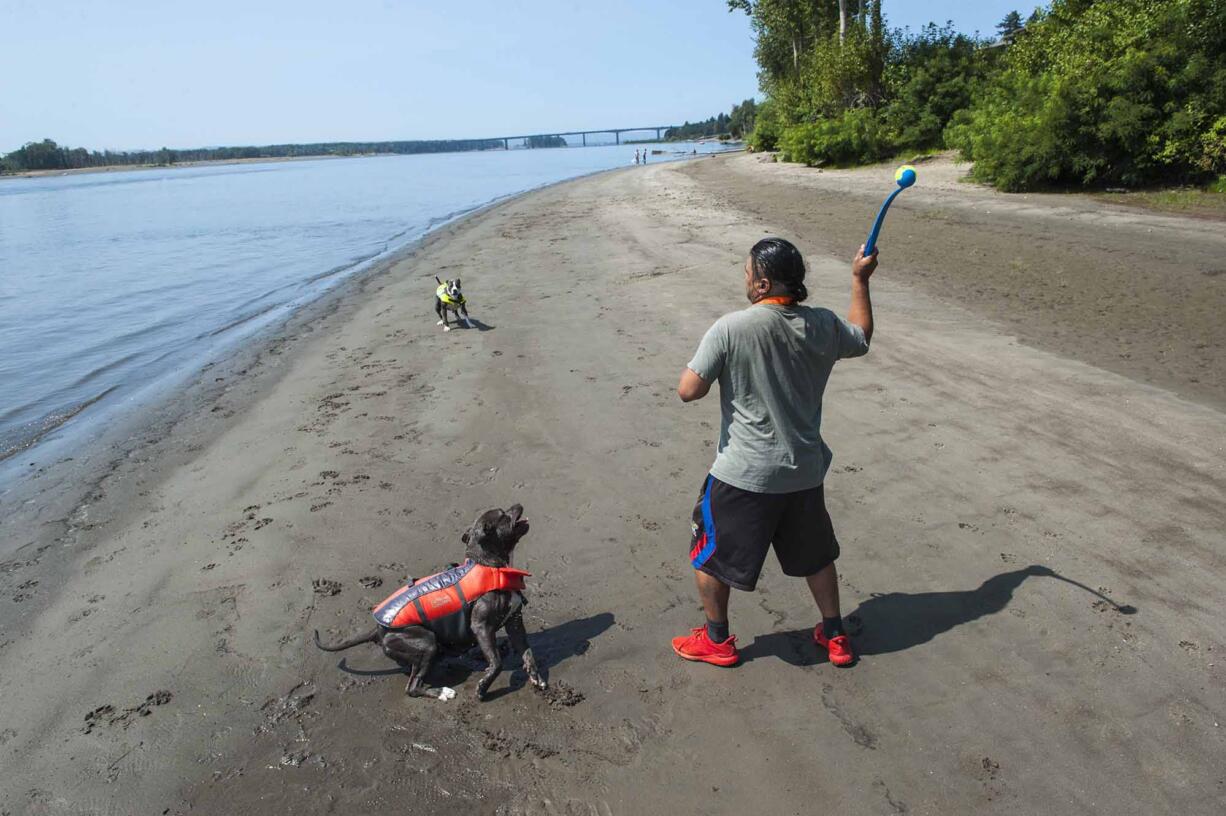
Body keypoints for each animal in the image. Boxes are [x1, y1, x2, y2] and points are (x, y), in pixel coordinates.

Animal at [311, 502, 546, 700]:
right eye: (504, 514)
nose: (518, 504)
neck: (491, 566)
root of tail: (378, 630)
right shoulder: (481, 627)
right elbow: (496, 663)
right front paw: (483, 688)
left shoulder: (515, 622)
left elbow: (528, 653)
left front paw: (537, 677)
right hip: (426, 643)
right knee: (412, 687)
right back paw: (442, 692)